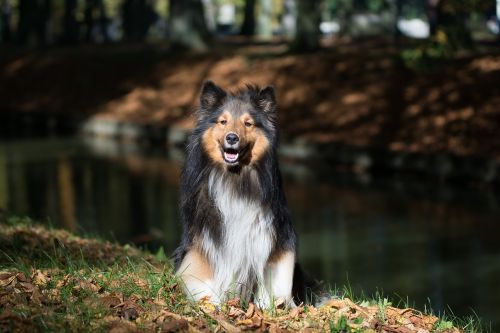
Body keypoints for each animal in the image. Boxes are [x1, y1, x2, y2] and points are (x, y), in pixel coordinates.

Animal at [174, 81, 296, 308]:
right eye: (223, 121)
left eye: (248, 124)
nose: (232, 137)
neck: (235, 179)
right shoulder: (204, 241)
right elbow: (202, 274)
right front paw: (210, 303)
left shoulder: (269, 235)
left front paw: (268, 306)